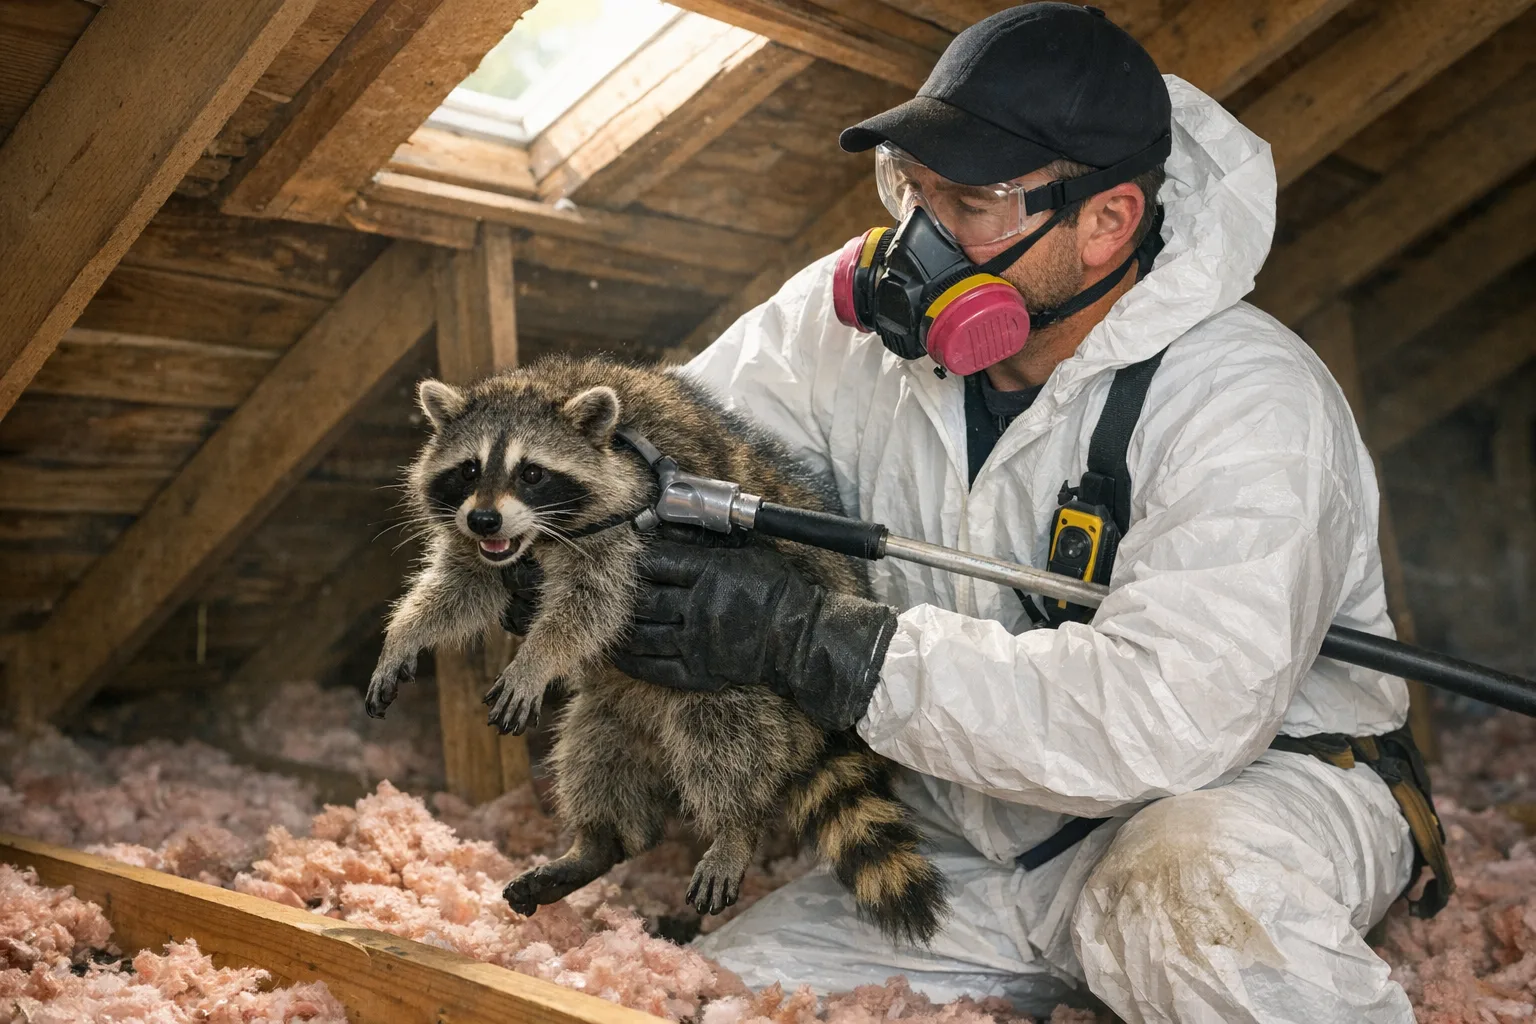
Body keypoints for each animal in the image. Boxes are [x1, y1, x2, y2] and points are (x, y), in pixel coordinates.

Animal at [367, 355, 949, 944]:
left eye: (531, 473)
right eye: (468, 469)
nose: (484, 519)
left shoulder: (627, 527)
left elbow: (593, 604)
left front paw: (536, 658)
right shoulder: (491, 544)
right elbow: (460, 584)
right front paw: (405, 633)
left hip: (759, 688)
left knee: (724, 729)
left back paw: (735, 827)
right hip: (615, 711)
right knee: (594, 750)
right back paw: (597, 844)